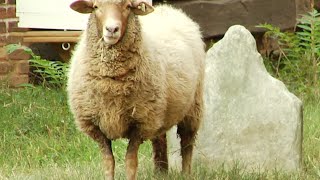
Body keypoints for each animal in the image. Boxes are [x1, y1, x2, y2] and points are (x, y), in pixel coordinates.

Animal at [67, 0, 205, 179]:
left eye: (127, 6)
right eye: (96, 7)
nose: (112, 29)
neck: (111, 83)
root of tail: (168, 8)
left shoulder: (139, 123)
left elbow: (130, 162)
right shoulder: (96, 126)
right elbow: (108, 163)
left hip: (192, 106)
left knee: (187, 142)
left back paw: (186, 173)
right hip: (159, 112)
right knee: (159, 139)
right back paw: (160, 171)